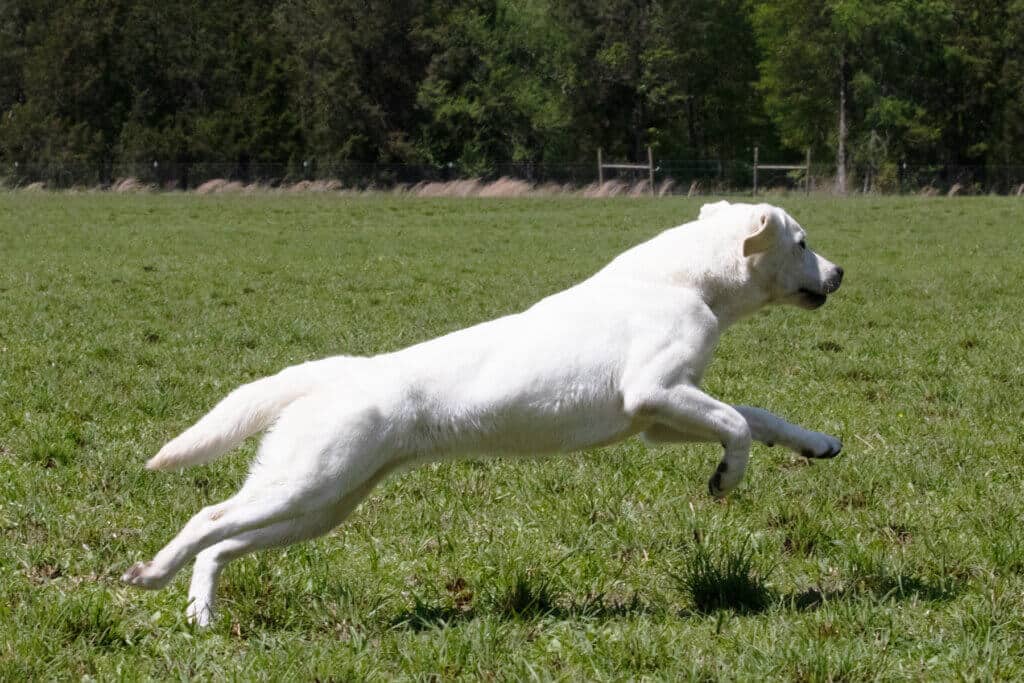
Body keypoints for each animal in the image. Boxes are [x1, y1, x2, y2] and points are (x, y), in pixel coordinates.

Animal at [119, 201, 843, 626]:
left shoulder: (662, 418)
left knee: (223, 545)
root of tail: (339, 370)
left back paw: (201, 615)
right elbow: (739, 425)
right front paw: (726, 479)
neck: (684, 282)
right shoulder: (653, 394)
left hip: (322, 504)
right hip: (305, 483)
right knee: (206, 519)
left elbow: (757, 415)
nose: (839, 273)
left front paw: (817, 444)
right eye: (804, 242)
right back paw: (149, 574)